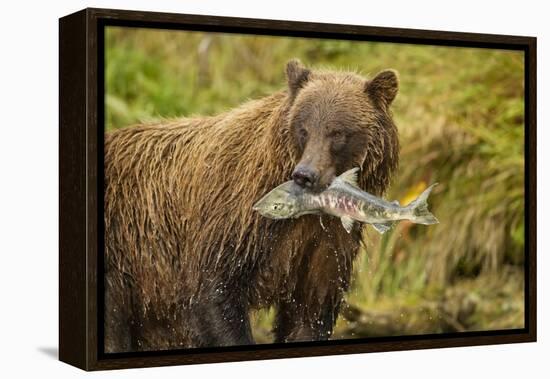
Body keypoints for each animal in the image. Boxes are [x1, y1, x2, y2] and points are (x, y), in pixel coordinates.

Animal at [103, 59, 402, 354]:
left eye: (337, 132)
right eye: (303, 129)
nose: (305, 174)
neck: (309, 212)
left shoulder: (326, 243)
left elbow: (311, 310)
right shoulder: (233, 219)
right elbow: (215, 294)